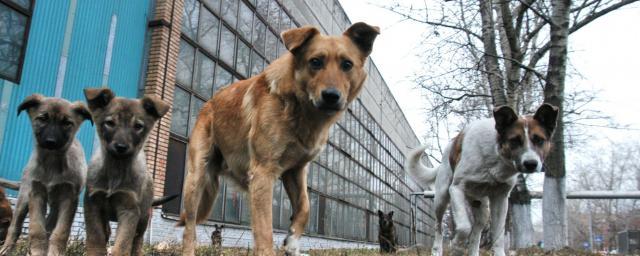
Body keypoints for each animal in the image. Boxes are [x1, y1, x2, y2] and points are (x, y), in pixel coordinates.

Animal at [0, 94, 91, 256]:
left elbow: (61, 231)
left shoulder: (69, 198)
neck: (52, 163)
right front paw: (37, 251)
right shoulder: (36, 194)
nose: (51, 142)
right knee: (15, 226)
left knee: (50, 225)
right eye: (42, 118)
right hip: (24, 196)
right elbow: (36, 228)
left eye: (67, 123)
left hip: (55, 206)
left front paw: (54, 252)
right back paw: (6, 248)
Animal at [82, 88, 170, 256]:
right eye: (110, 123)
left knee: (137, 241)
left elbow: (122, 245)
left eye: (138, 126)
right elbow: (96, 238)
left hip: (143, 218)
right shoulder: (92, 204)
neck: (116, 169)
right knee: (107, 233)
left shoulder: (129, 210)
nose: (121, 147)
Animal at [179, 23, 380, 255]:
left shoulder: (295, 171)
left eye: (347, 64)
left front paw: (292, 242)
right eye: (315, 62)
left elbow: (305, 207)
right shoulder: (263, 173)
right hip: (196, 178)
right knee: (189, 226)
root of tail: (208, 103)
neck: (298, 107)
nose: (331, 96)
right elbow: (265, 229)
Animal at [408, 103, 556, 256]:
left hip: (481, 207)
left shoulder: (501, 199)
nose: (531, 164)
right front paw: (456, 246)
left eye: (539, 140)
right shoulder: (456, 189)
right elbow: (464, 227)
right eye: (514, 140)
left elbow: (498, 235)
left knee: (476, 232)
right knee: (438, 226)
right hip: (441, 198)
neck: (496, 155)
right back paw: (437, 250)